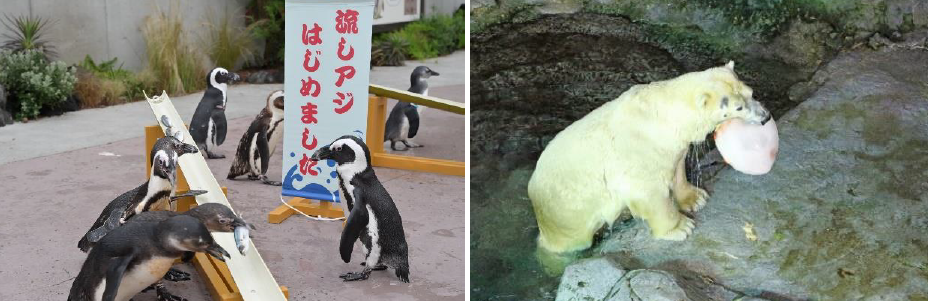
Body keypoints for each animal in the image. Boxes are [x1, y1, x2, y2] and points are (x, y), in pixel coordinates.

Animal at [524, 61, 772, 253]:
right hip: (567, 212)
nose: (765, 117)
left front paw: (696, 198)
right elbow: (648, 192)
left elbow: (677, 169)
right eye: (738, 107)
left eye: (751, 92)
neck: (661, 115)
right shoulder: (637, 153)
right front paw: (681, 227)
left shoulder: (670, 144)